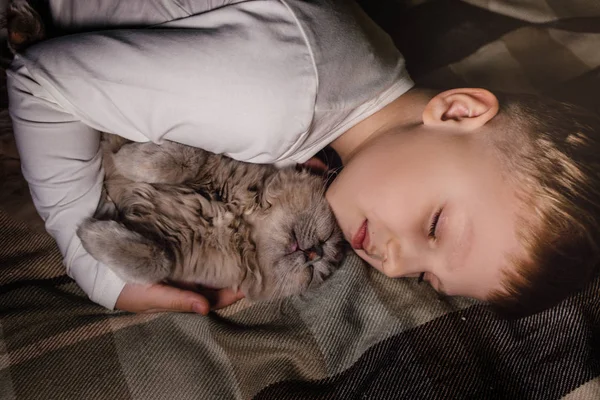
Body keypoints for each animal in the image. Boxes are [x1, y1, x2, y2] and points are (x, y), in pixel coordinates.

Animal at [77, 136, 344, 302]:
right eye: (328, 237)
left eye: (313, 272)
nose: (315, 253)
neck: (242, 222)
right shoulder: (212, 162)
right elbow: (183, 161)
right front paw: (125, 159)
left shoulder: (181, 254)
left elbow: (157, 262)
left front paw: (91, 233)